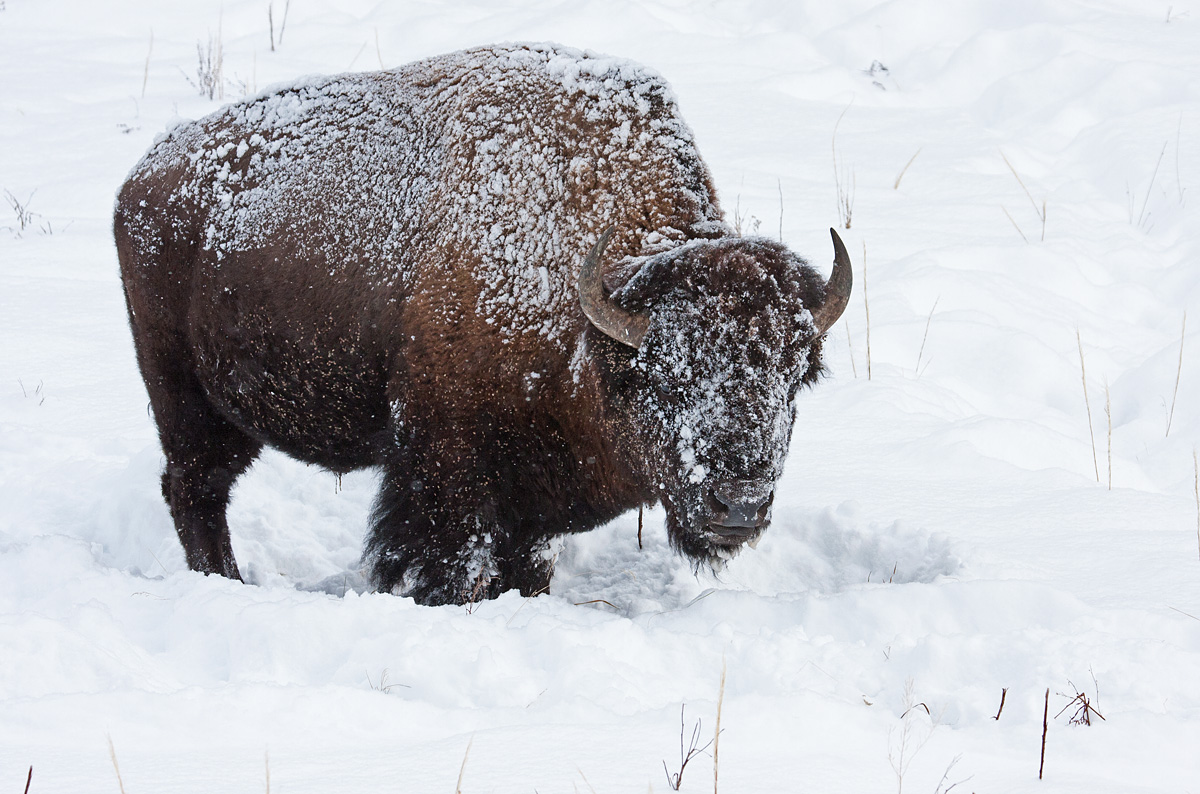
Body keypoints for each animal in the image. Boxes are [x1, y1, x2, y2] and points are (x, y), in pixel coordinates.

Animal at [114, 43, 852, 605]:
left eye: (794, 378)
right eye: (666, 379)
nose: (741, 505)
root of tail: (143, 178)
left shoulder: (529, 495)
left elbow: (527, 564)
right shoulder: (444, 470)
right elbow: (453, 559)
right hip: (188, 403)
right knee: (195, 490)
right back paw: (224, 582)